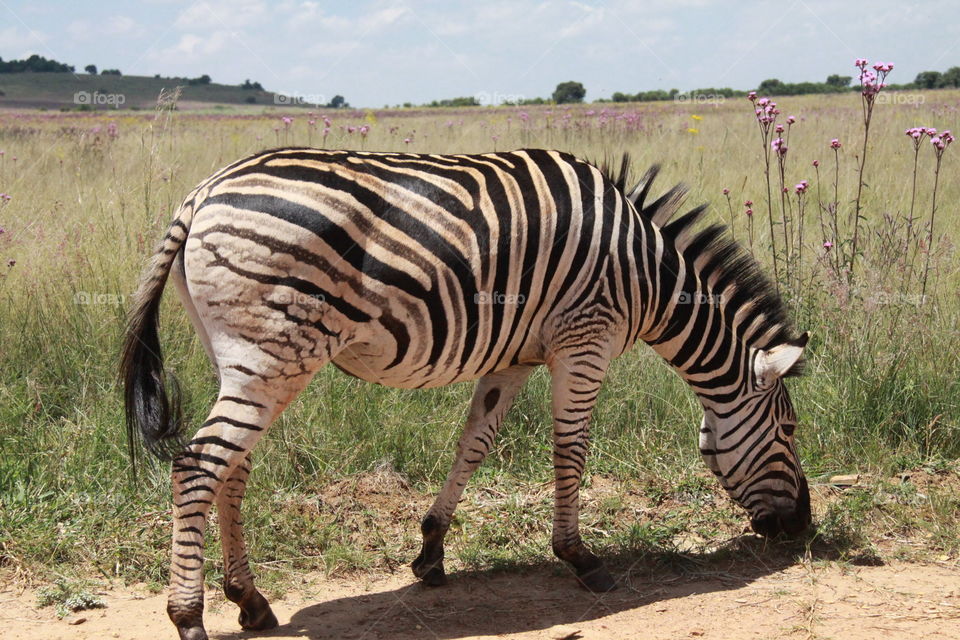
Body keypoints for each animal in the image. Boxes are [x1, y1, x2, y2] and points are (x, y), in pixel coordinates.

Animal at [120, 146, 808, 640]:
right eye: (790, 430)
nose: (802, 528)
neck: (649, 277)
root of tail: (202, 193)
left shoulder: (515, 357)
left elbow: (473, 445)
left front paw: (431, 553)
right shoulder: (585, 339)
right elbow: (571, 450)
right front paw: (580, 558)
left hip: (244, 361)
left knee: (230, 468)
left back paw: (251, 602)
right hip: (273, 354)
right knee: (196, 466)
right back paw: (189, 618)